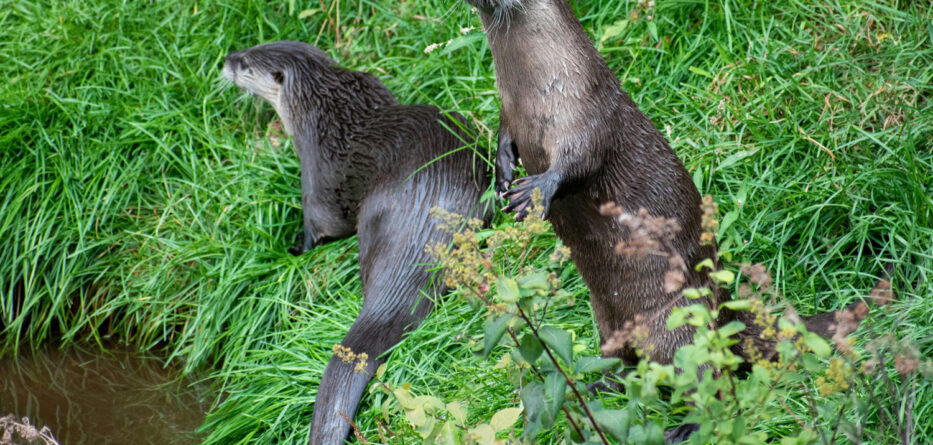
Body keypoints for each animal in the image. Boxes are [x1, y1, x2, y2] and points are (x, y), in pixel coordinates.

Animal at [224, 41, 489, 445]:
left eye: (246, 64)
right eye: (250, 47)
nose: (226, 59)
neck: (322, 111)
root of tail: (424, 232)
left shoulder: (316, 170)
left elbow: (323, 223)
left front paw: (293, 250)